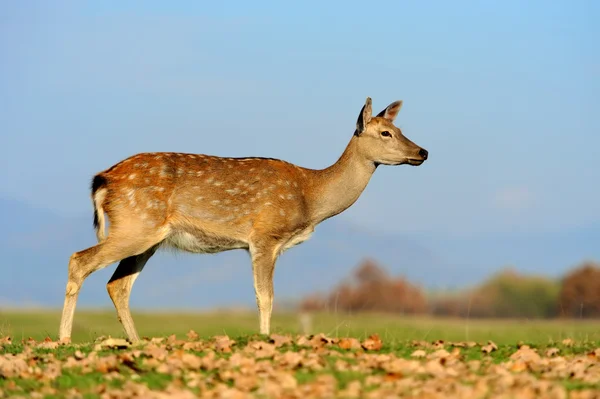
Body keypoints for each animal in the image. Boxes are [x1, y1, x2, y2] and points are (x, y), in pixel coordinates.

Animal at [58, 97, 428, 344]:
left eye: (399, 128)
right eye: (385, 133)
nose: (423, 152)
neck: (311, 198)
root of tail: (103, 179)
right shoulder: (265, 235)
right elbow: (266, 295)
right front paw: (265, 339)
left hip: (148, 236)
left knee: (117, 284)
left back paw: (136, 343)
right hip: (136, 224)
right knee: (79, 260)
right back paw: (64, 340)